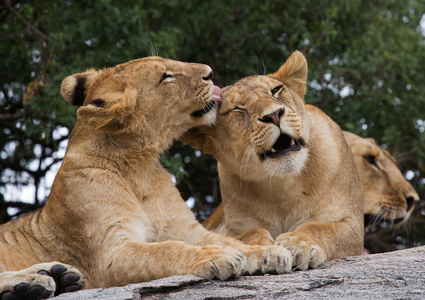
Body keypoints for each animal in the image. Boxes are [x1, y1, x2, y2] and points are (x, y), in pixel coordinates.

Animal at [0, 56, 290, 300]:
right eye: (165, 76)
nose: (209, 72)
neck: (138, 168)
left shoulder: (188, 229)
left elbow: (232, 240)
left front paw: (267, 252)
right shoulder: (111, 254)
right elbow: (167, 250)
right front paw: (218, 256)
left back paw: (59, 276)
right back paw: (31, 283)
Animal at [181, 50, 362, 270]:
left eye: (275, 90)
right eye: (236, 109)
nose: (274, 115)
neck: (282, 187)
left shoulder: (352, 224)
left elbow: (321, 228)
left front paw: (298, 244)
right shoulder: (229, 229)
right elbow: (249, 234)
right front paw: (265, 252)